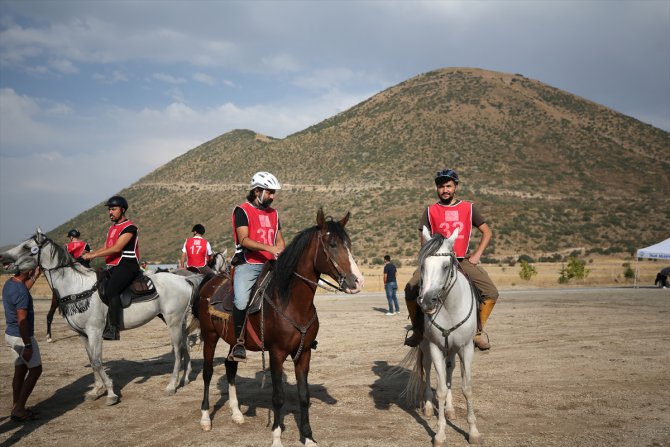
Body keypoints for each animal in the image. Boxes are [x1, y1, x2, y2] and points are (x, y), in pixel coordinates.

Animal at [0, 229, 206, 404]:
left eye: (27, 247)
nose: (2, 257)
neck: (77, 286)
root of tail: (184, 279)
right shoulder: (83, 334)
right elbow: (92, 360)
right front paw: (96, 390)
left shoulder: (95, 331)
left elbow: (98, 361)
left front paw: (111, 393)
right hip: (176, 321)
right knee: (185, 344)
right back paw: (185, 378)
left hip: (173, 321)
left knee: (178, 351)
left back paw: (171, 385)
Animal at [190, 210, 368, 447]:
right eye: (332, 244)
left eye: (348, 244)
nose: (357, 281)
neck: (291, 302)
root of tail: (211, 280)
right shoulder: (276, 353)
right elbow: (278, 397)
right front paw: (276, 437)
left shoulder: (304, 353)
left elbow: (304, 396)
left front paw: (308, 437)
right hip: (210, 336)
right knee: (208, 372)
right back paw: (205, 419)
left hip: (233, 341)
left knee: (230, 367)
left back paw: (237, 414)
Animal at [404, 229, 484, 446]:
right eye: (422, 266)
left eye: (446, 266)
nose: (427, 302)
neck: (449, 306)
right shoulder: (435, 347)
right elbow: (439, 389)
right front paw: (440, 434)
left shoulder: (466, 348)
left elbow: (467, 388)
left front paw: (473, 432)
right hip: (426, 346)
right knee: (428, 368)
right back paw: (429, 407)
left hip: (453, 350)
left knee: (449, 370)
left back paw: (449, 409)